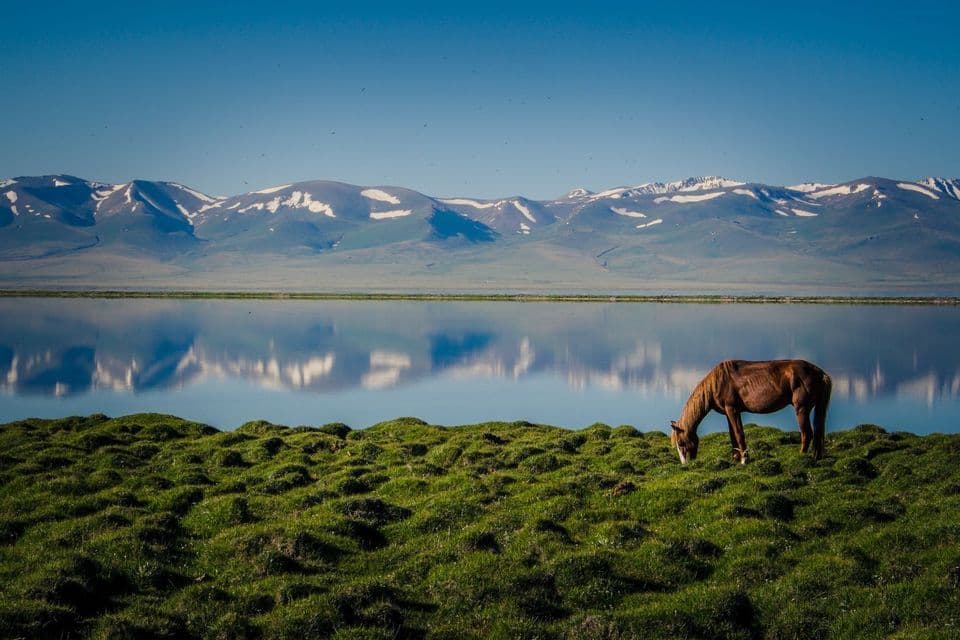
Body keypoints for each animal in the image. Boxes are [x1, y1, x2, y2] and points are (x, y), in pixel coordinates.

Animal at [670, 359, 832, 465]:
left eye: (680, 442)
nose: (686, 464)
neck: (717, 383)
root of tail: (820, 374)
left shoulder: (732, 409)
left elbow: (739, 434)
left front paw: (744, 459)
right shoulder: (729, 412)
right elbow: (733, 436)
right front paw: (735, 459)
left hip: (801, 409)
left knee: (807, 433)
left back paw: (801, 457)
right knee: (817, 432)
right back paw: (816, 457)